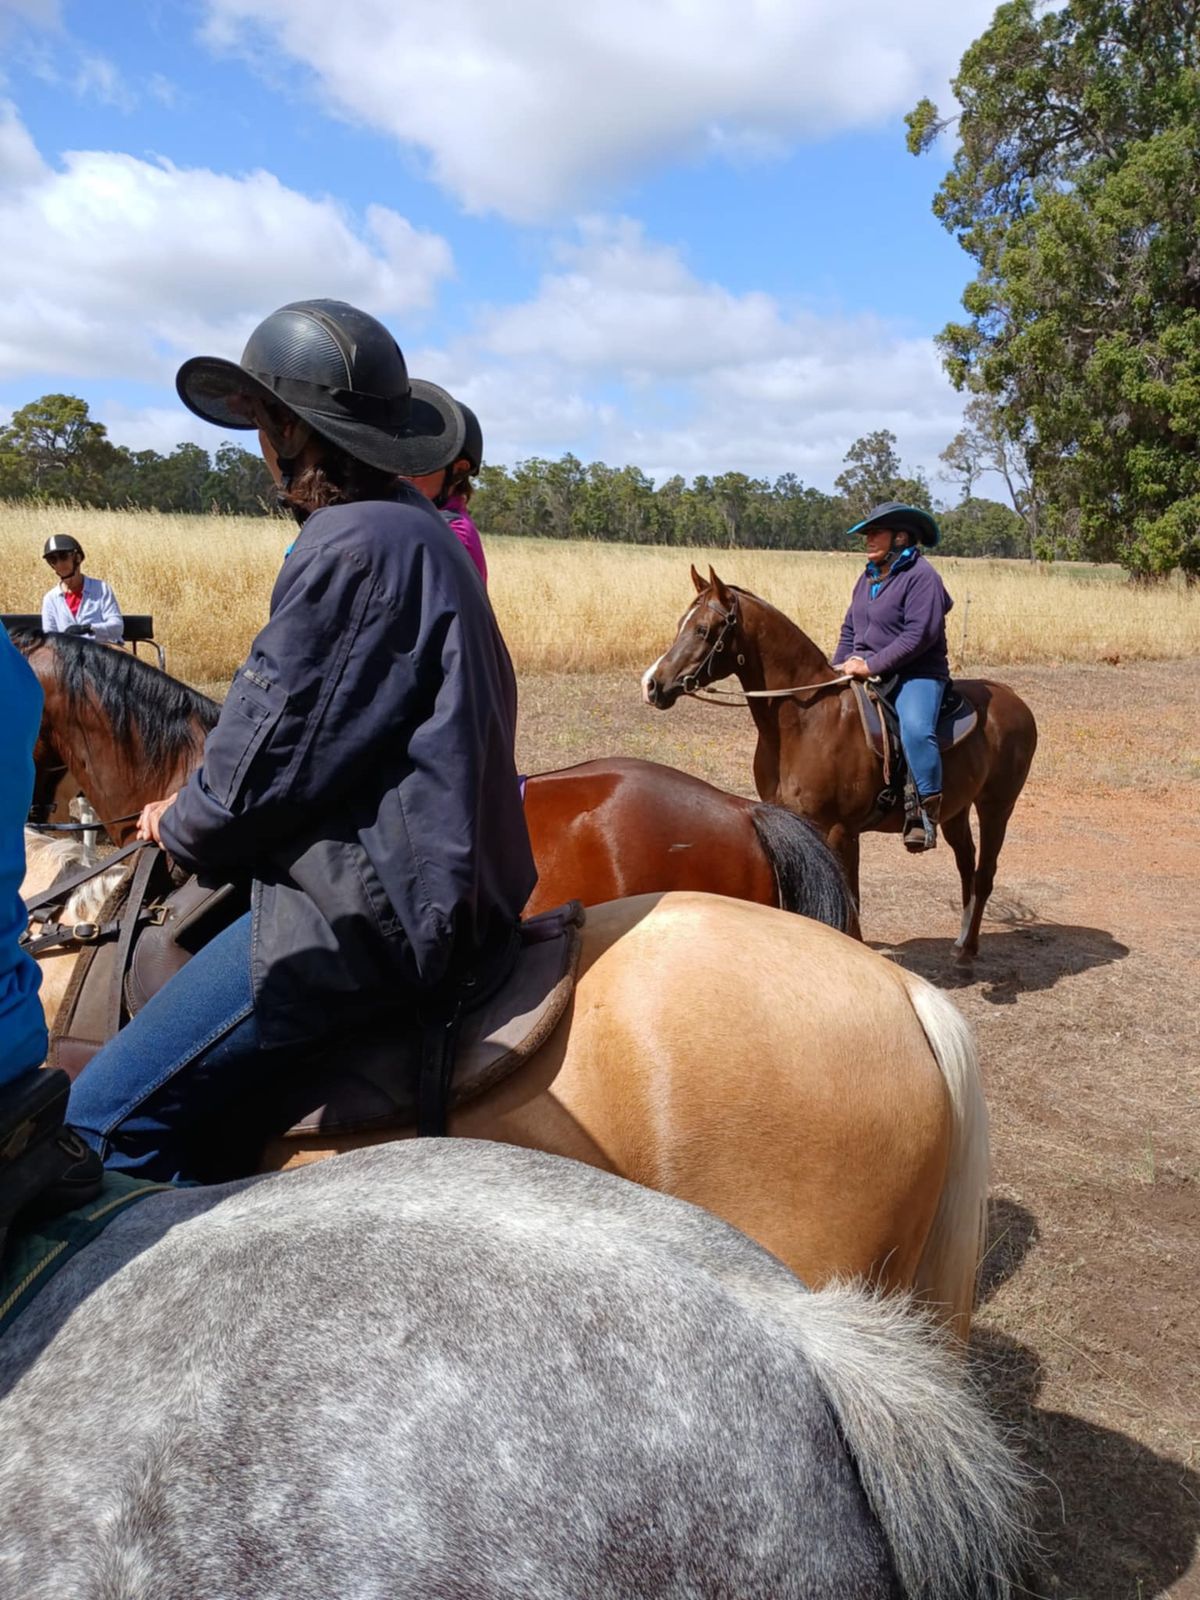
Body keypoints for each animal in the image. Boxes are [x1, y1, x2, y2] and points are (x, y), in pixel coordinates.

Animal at [643, 569, 1036, 966]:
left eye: (703, 629)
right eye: (681, 624)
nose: (653, 684)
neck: (807, 719)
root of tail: (1013, 700)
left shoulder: (838, 830)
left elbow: (850, 903)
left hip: (997, 807)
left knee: (984, 873)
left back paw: (968, 950)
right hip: (955, 810)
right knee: (967, 866)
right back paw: (961, 942)